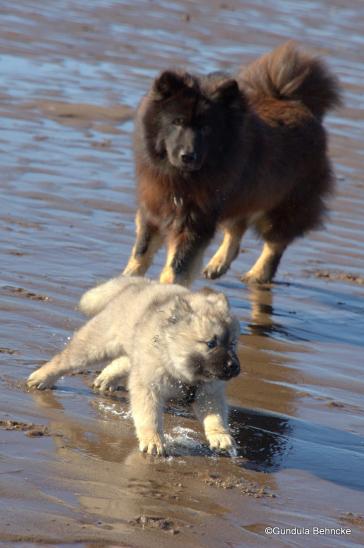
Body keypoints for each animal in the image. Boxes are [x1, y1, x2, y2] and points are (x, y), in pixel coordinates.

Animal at [123, 41, 342, 286]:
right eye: (177, 122)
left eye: (206, 128)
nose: (188, 155)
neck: (180, 176)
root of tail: (299, 104)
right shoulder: (154, 206)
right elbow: (141, 252)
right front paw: (125, 281)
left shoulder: (194, 219)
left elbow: (177, 264)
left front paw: (166, 289)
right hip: (243, 196)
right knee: (236, 230)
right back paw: (217, 265)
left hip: (286, 203)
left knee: (275, 242)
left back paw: (258, 274)